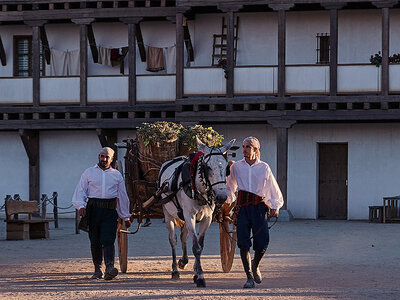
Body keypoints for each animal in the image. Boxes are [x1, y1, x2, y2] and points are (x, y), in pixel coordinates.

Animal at [159, 137, 236, 288]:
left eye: (226, 168)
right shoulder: (190, 216)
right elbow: (196, 247)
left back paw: (183, 261)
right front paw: (200, 277)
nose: (221, 197)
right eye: (208, 167)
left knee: (183, 236)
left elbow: (200, 245)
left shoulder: (207, 218)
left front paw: (196, 272)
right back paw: (175, 270)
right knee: (173, 239)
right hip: (168, 213)